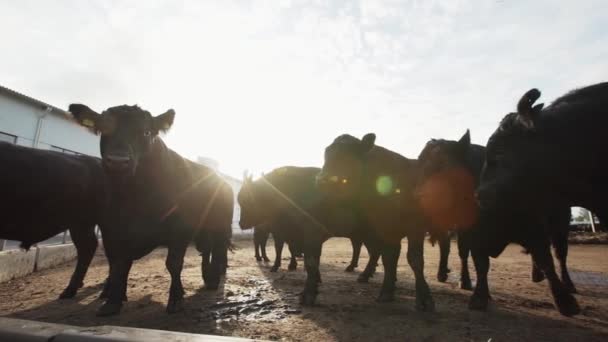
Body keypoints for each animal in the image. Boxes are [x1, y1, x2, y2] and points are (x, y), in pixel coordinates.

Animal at [69, 103, 233, 316]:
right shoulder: (112, 230)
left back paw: (214, 278)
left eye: (146, 132)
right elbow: (119, 264)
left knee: (218, 249)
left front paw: (176, 299)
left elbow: (173, 263)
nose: (118, 161)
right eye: (104, 129)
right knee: (206, 250)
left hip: (221, 226)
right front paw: (112, 302)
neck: (138, 195)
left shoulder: (180, 229)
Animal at [416, 131, 576, 312]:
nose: (417, 195)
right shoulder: (475, 236)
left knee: (560, 254)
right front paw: (480, 296)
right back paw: (465, 281)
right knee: (462, 254)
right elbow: (481, 265)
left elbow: (546, 260)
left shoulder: (535, 228)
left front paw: (565, 301)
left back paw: (565, 283)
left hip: (560, 224)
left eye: (442, 164)